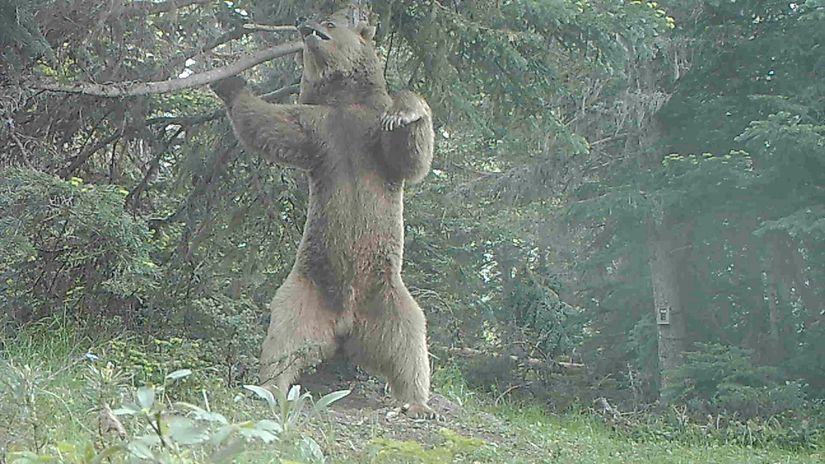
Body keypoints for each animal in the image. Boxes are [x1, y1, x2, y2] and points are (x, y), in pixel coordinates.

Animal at [209, 7, 434, 416]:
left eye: (330, 23)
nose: (304, 25)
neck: (343, 101)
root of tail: (346, 326)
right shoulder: (316, 131)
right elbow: (267, 124)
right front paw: (227, 81)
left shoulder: (366, 134)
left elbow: (410, 156)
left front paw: (405, 112)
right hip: (304, 291)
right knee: (284, 338)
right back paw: (271, 386)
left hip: (386, 293)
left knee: (409, 340)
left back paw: (417, 403)